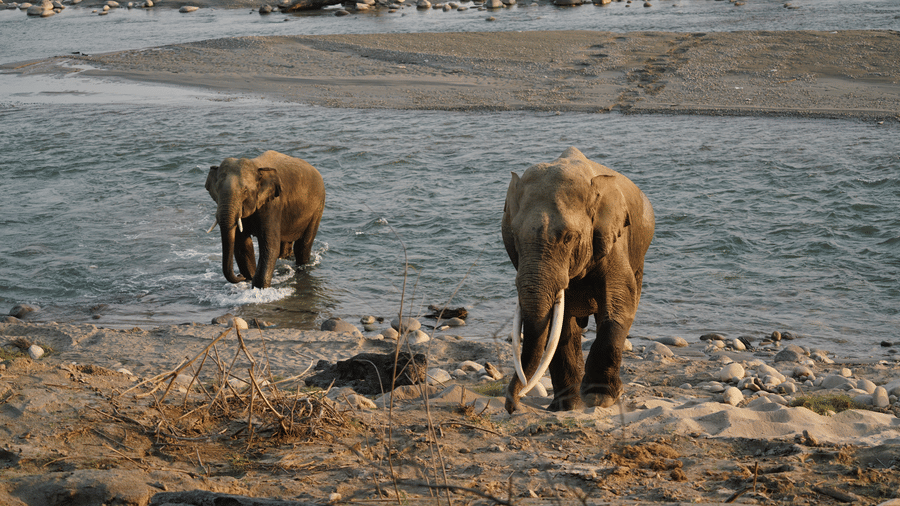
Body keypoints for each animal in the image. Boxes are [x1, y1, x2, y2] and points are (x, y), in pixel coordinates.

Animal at [205, 150, 326, 289]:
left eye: (245, 191)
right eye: (217, 190)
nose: (240, 276)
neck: (256, 166)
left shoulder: (272, 205)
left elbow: (270, 246)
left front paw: (259, 288)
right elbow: (242, 245)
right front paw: (250, 279)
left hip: (318, 207)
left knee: (303, 245)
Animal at [502, 147, 654, 413]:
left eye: (568, 237)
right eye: (515, 236)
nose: (512, 406)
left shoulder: (614, 241)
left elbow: (619, 305)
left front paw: (599, 399)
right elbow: (559, 324)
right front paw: (566, 408)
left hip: (639, 257)